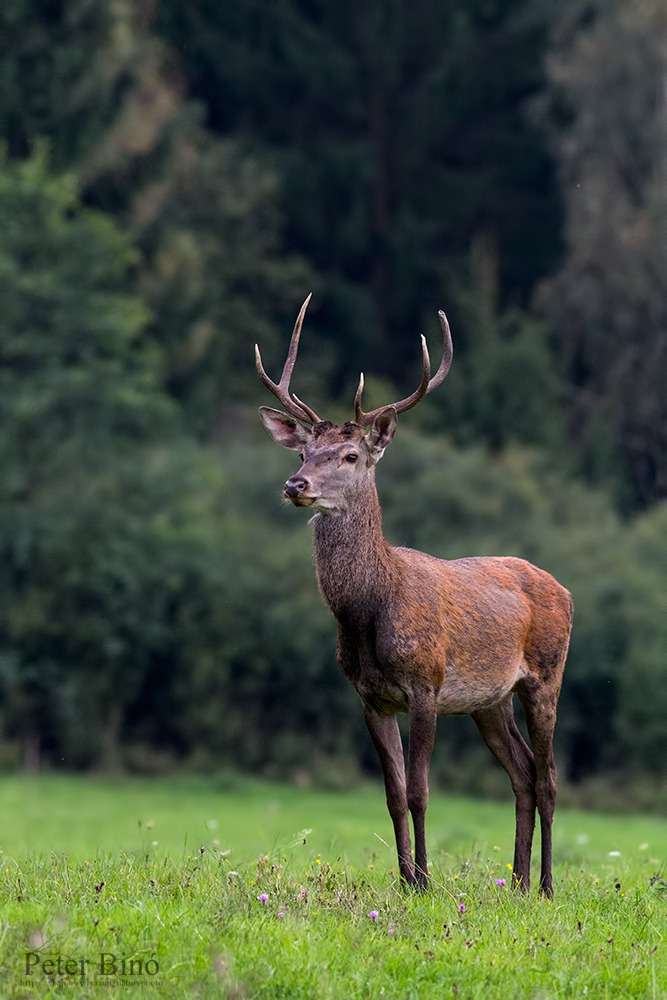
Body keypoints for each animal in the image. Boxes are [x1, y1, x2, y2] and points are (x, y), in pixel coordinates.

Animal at [256, 294, 573, 895]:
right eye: (304, 452)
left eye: (351, 455)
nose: (294, 485)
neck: (370, 611)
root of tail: (564, 589)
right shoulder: (369, 696)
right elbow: (393, 794)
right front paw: (405, 880)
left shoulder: (426, 682)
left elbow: (421, 791)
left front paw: (424, 880)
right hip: (489, 699)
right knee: (521, 774)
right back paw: (518, 883)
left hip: (546, 673)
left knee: (547, 777)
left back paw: (545, 886)